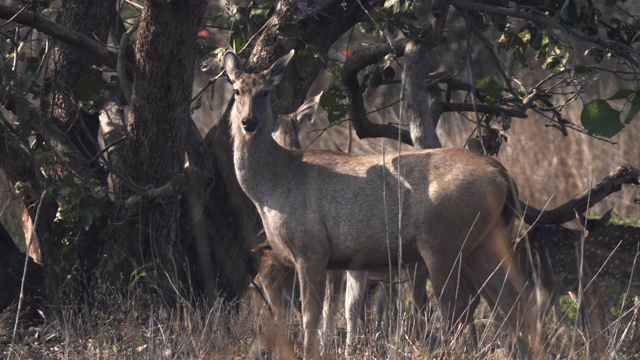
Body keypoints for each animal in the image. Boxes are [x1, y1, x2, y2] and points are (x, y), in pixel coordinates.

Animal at [225, 49, 540, 358]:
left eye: (266, 92)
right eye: (237, 90)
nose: (248, 122)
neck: (273, 188)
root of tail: (501, 174)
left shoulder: (312, 247)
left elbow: (311, 317)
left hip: (443, 239)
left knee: (457, 307)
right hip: (484, 238)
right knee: (516, 299)